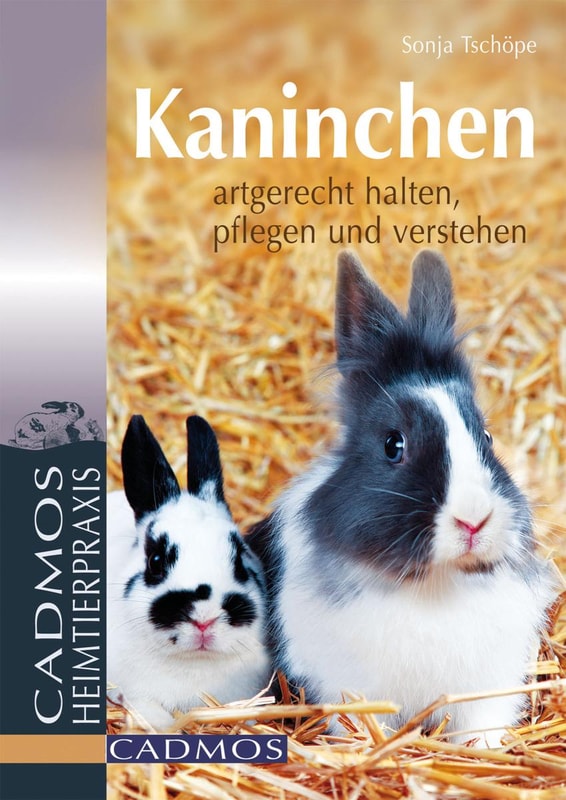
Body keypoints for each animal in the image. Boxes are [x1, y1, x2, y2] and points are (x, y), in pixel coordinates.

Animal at [248, 250, 557, 747]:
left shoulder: (485, 689)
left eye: (487, 437)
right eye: (394, 445)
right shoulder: (350, 685)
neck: (435, 586)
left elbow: (479, 731)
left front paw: (482, 751)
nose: (474, 520)